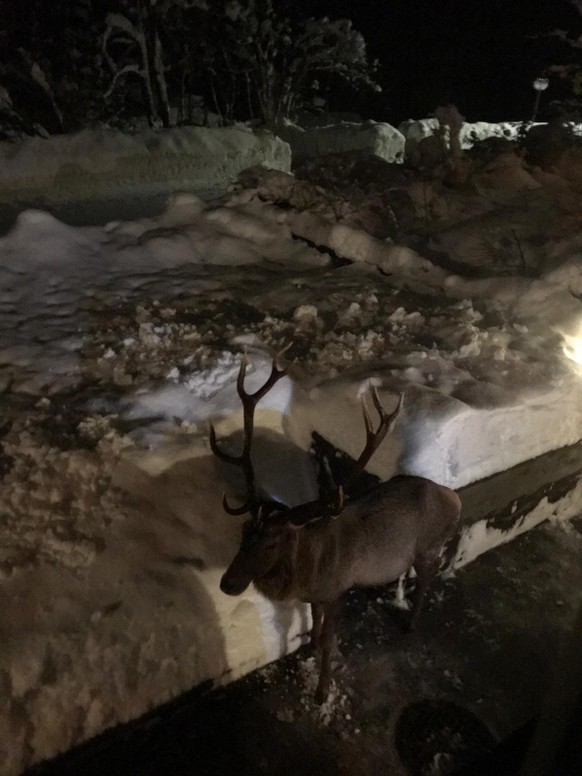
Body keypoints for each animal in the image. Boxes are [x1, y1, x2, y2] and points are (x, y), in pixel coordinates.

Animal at [212, 354, 464, 708]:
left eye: (273, 541)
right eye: (245, 530)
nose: (228, 583)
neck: (307, 571)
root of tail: (454, 498)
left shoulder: (335, 591)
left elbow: (330, 642)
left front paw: (321, 692)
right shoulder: (315, 595)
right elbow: (313, 619)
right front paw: (308, 642)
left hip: (427, 546)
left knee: (428, 577)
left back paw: (411, 624)